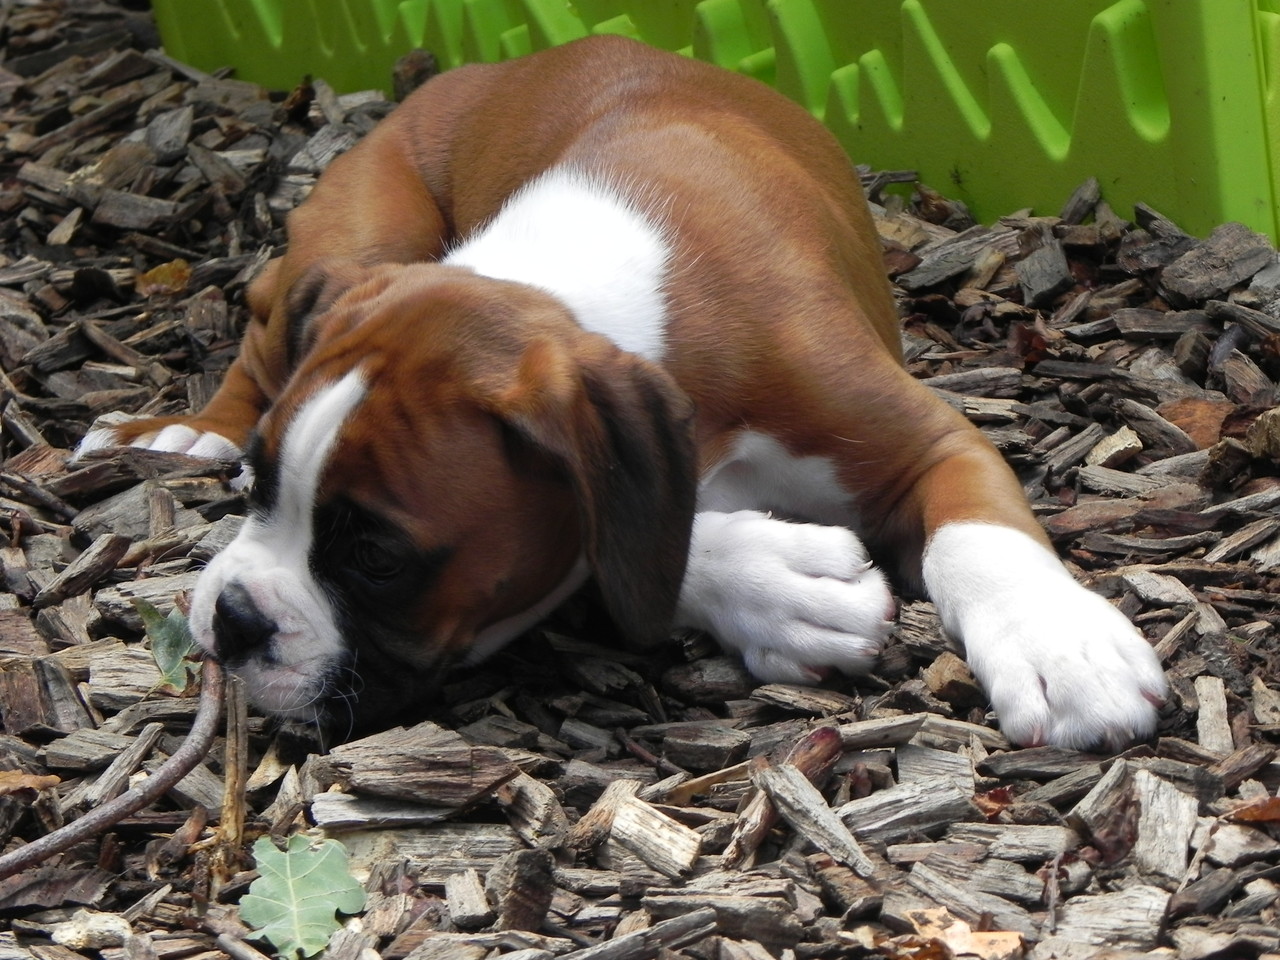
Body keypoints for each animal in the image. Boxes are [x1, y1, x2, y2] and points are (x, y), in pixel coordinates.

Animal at [80, 32, 1172, 752]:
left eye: (380, 559)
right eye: (258, 491)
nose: (231, 620)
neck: (566, 285)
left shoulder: (927, 442)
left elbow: (978, 539)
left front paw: (1054, 643)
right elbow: (644, 546)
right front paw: (780, 587)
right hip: (359, 233)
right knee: (264, 322)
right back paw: (187, 434)